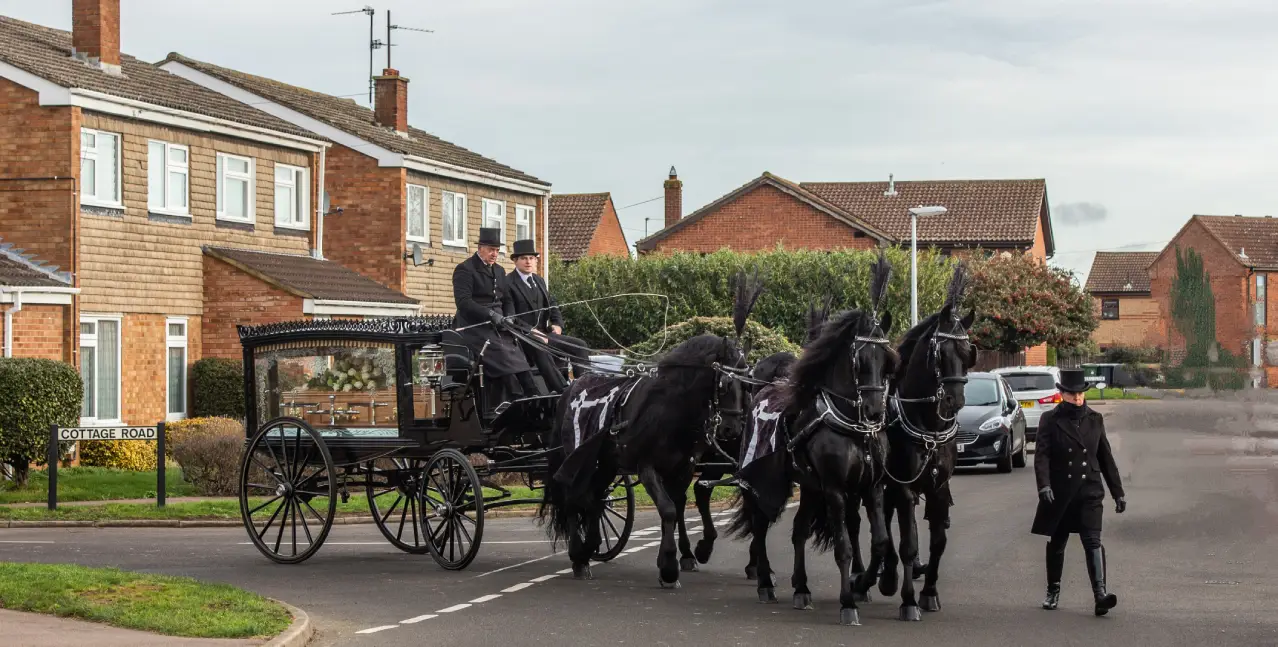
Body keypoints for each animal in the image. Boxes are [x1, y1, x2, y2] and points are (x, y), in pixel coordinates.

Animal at [536, 271, 756, 585]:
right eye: (725, 383)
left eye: (748, 384)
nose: (732, 430)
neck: (669, 409)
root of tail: (572, 385)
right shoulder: (647, 466)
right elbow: (667, 510)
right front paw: (669, 565)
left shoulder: (683, 469)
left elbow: (676, 507)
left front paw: (677, 558)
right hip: (575, 457)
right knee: (572, 496)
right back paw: (579, 555)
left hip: (604, 463)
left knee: (594, 499)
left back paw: (590, 546)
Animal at [731, 254, 899, 626]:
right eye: (859, 360)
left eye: (887, 361)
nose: (874, 410)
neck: (851, 426)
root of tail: (760, 390)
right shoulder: (835, 489)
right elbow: (844, 546)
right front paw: (848, 602)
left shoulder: (872, 487)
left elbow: (880, 541)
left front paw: (865, 583)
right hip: (771, 481)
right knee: (761, 525)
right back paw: (765, 582)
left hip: (808, 486)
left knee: (796, 531)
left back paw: (801, 587)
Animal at [869, 264, 976, 621]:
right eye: (940, 352)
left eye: (969, 353)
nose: (955, 401)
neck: (927, 425)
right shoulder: (904, 486)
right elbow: (909, 543)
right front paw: (908, 601)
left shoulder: (938, 486)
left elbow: (938, 541)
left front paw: (929, 593)